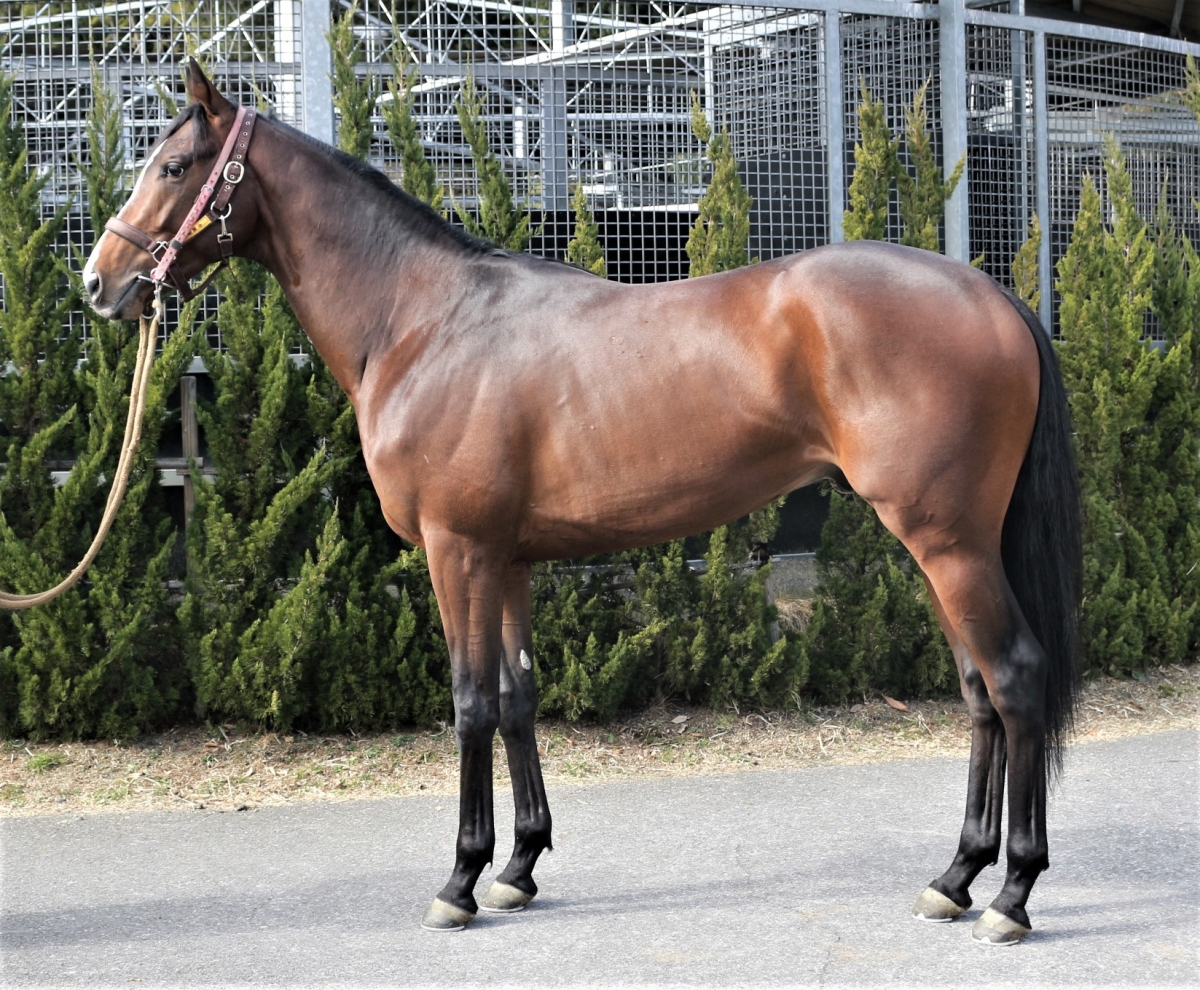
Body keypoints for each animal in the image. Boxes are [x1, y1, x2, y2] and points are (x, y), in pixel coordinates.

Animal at [83, 60, 1081, 946]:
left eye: (173, 165)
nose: (101, 283)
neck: (422, 322)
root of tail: (993, 296)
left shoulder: (457, 550)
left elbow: (470, 703)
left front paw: (460, 880)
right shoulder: (508, 559)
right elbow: (519, 696)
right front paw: (519, 867)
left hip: (948, 542)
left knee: (1016, 678)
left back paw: (1012, 895)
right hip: (946, 546)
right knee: (979, 694)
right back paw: (955, 878)